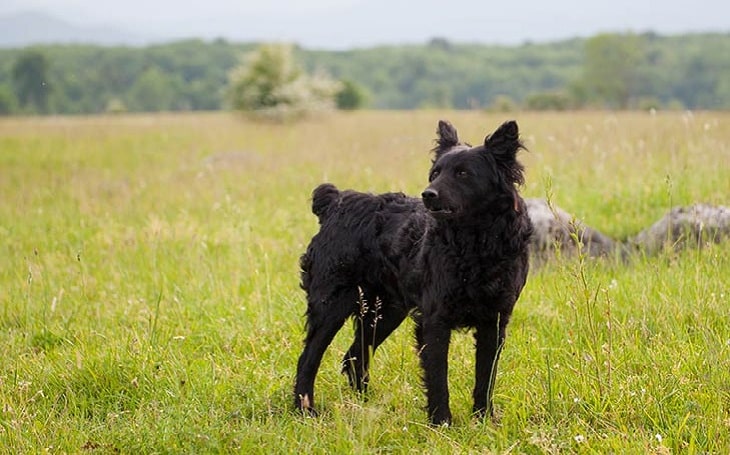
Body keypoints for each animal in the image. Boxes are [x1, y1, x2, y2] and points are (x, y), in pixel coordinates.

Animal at [292, 119, 532, 426]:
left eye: (463, 173)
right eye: (435, 173)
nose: (428, 194)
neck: (476, 243)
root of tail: (335, 202)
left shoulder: (495, 320)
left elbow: (485, 376)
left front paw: (484, 419)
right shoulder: (435, 319)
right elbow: (438, 376)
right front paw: (442, 422)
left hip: (384, 312)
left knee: (354, 357)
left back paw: (366, 406)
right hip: (331, 306)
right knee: (308, 359)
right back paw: (305, 409)